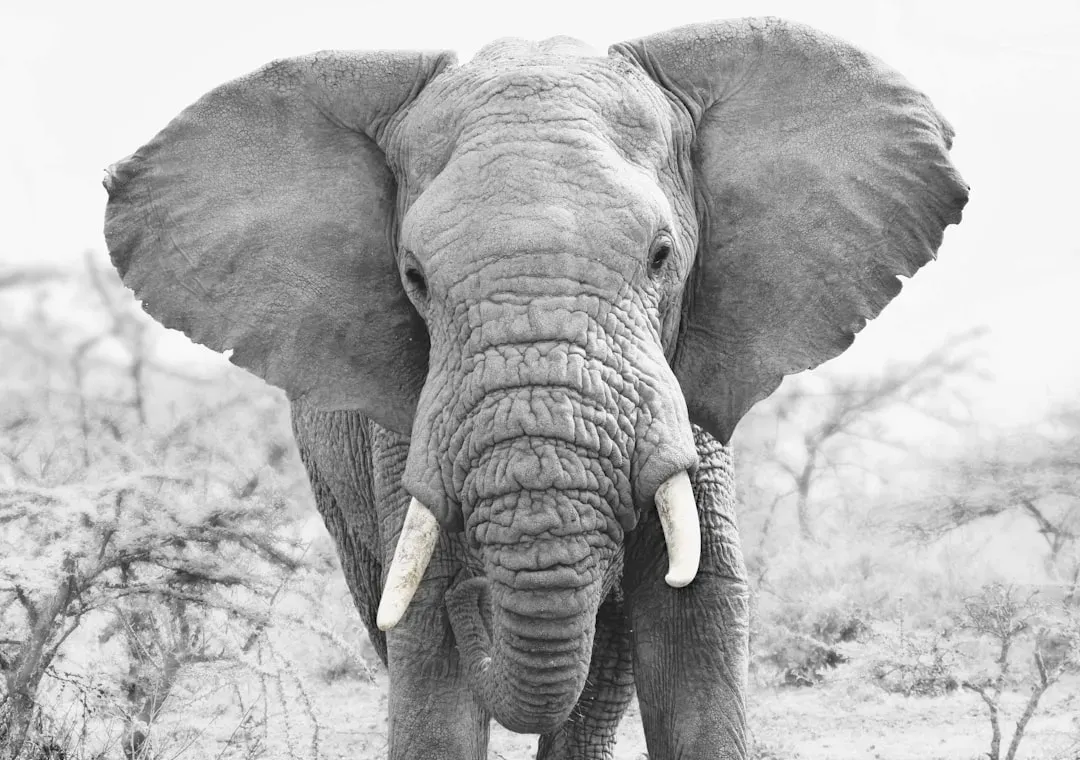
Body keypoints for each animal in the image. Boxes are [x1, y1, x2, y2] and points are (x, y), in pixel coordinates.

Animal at [102, 17, 966, 760]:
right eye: (414, 277)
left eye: (661, 255)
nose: (478, 598)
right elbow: (429, 655)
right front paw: (451, 610)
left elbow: (697, 619)